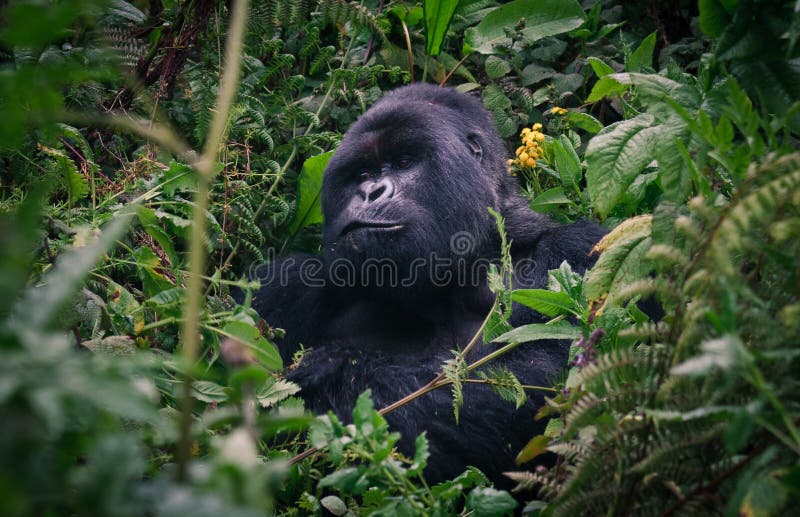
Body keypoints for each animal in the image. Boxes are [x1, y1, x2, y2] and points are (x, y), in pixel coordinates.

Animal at [253, 83, 604, 484]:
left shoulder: (579, 252)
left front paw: (329, 373)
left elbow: (559, 376)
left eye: (405, 163)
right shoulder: (283, 288)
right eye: (362, 173)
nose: (371, 192)